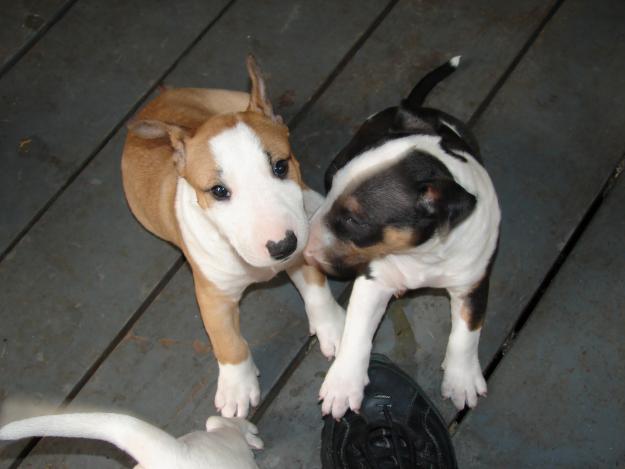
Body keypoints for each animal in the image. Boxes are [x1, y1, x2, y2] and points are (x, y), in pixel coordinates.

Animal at [122, 55, 344, 416]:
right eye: (218, 191)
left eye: (281, 166)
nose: (282, 246)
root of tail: (159, 99)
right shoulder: (212, 294)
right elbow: (227, 340)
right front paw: (237, 388)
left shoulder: (300, 249)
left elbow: (316, 288)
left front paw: (334, 328)